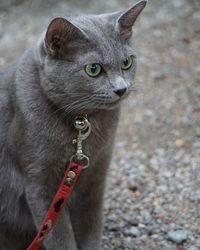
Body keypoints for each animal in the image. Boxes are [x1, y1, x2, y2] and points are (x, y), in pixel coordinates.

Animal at [0, 0, 147, 249]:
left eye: (126, 63)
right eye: (93, 69)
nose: (121, 89)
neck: (82, 122)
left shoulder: (96, 175)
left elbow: (91, 226)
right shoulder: (40, 182)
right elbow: (58, 235)